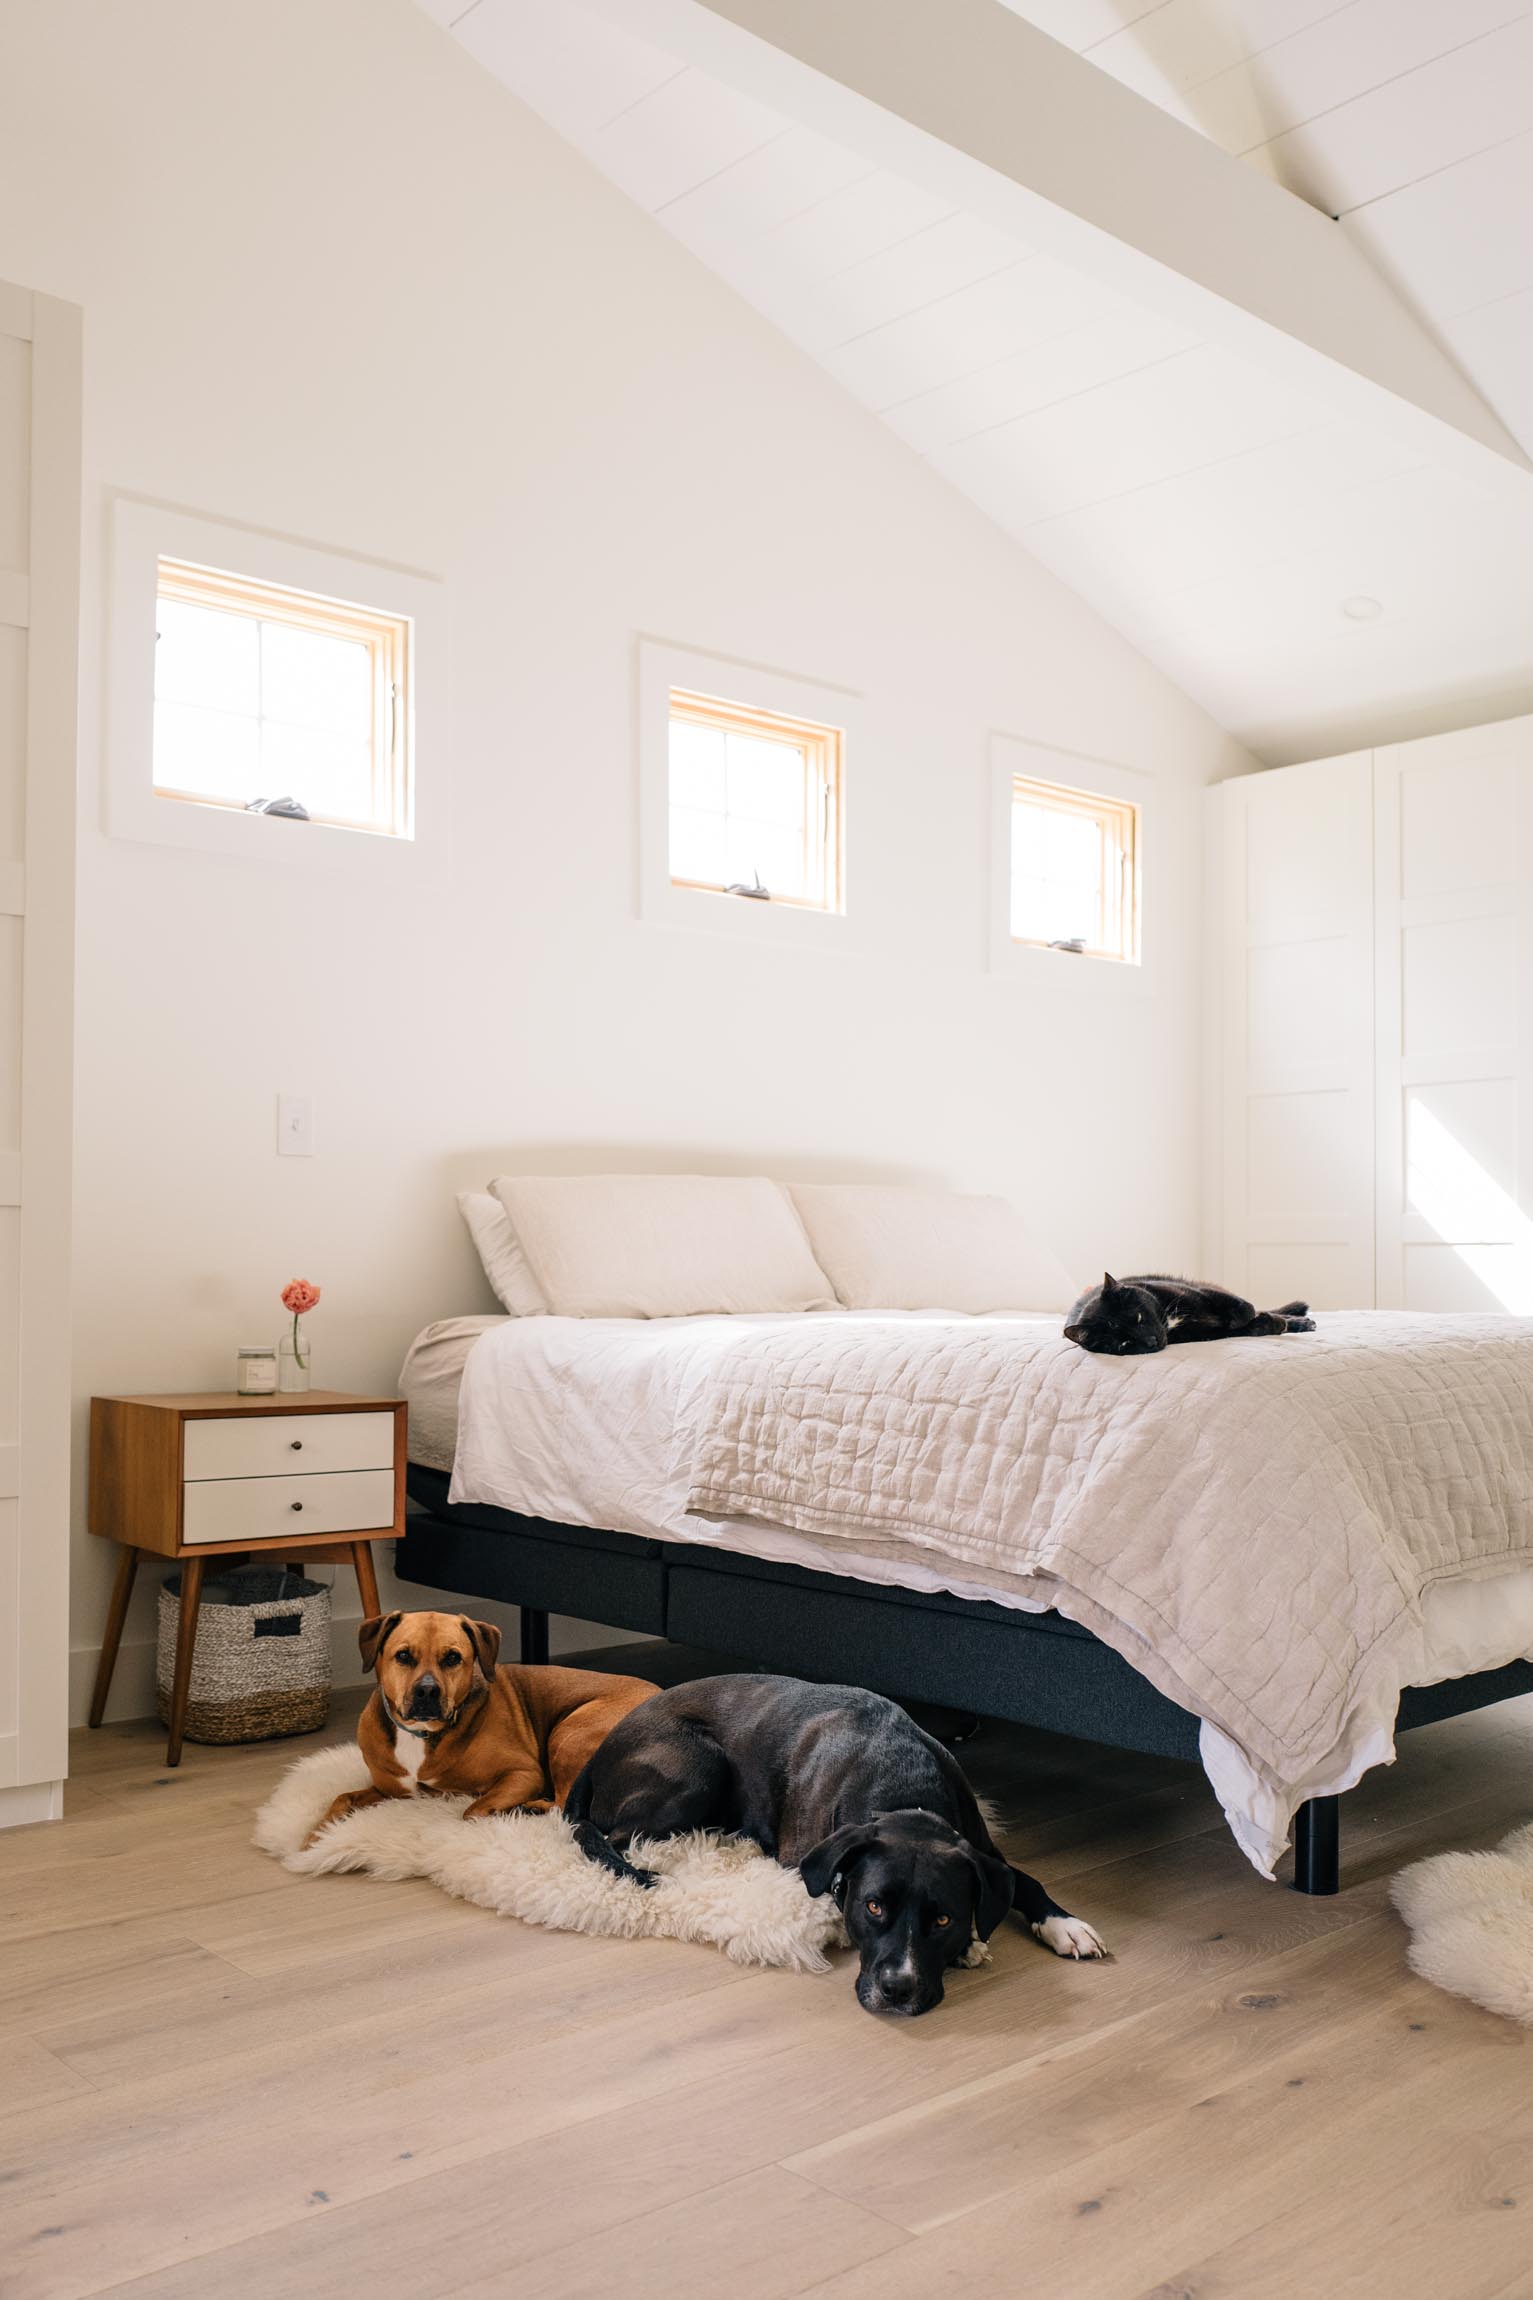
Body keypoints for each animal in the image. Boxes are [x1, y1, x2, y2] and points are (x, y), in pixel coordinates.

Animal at [310, 1610, 661, 1840]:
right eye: (404, 1655)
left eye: (453, 1658)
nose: (427, 1691)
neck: (423, 1735)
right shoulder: (390, 1789)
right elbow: (341, 1798)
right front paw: (315, 1836)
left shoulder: (523, 1773)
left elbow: (472, 1811)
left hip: (569, 1734)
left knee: (563, 1807)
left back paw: (528, 1809)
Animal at [563, 1674, 1103, 2014]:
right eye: (873, 1907)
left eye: (944, 1920)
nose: (897, 1990)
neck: (903, 1783)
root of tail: (603, 1747)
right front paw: (974, 1946)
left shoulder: (984, 1850)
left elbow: (1024, 1880)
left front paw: (1065, 1925)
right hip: (700, 1765)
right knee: (603, 1834)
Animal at [1066, 1278, 1323, 1343]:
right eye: (1124, 1343)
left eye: (1138, 1316)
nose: (1150, 1340)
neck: (1168, 1322)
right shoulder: (1202, 1334)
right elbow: (1243, 1329)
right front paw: (1268, 1324)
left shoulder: (1198, 1292)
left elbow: (1244, 1308)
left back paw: (1301, 1319)